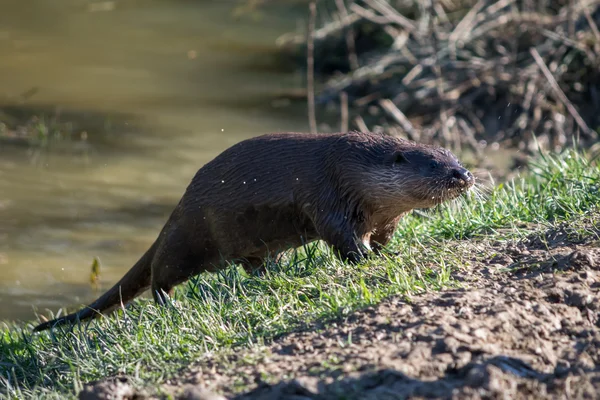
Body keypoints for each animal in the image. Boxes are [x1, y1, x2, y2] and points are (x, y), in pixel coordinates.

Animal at [32, 131, 476, 332]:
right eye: (434, 165)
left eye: (455, 157)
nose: (465, 175)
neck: (354, 172)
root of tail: (179, 206)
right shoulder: (327, 198)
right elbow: (343, 241)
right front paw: (367, 258)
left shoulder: (384, 218)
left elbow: (381, 237)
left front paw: (386, 252)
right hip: (188, 237)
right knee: (161, 273)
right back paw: (168, 303)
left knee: (253, 263)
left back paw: (273, 275)